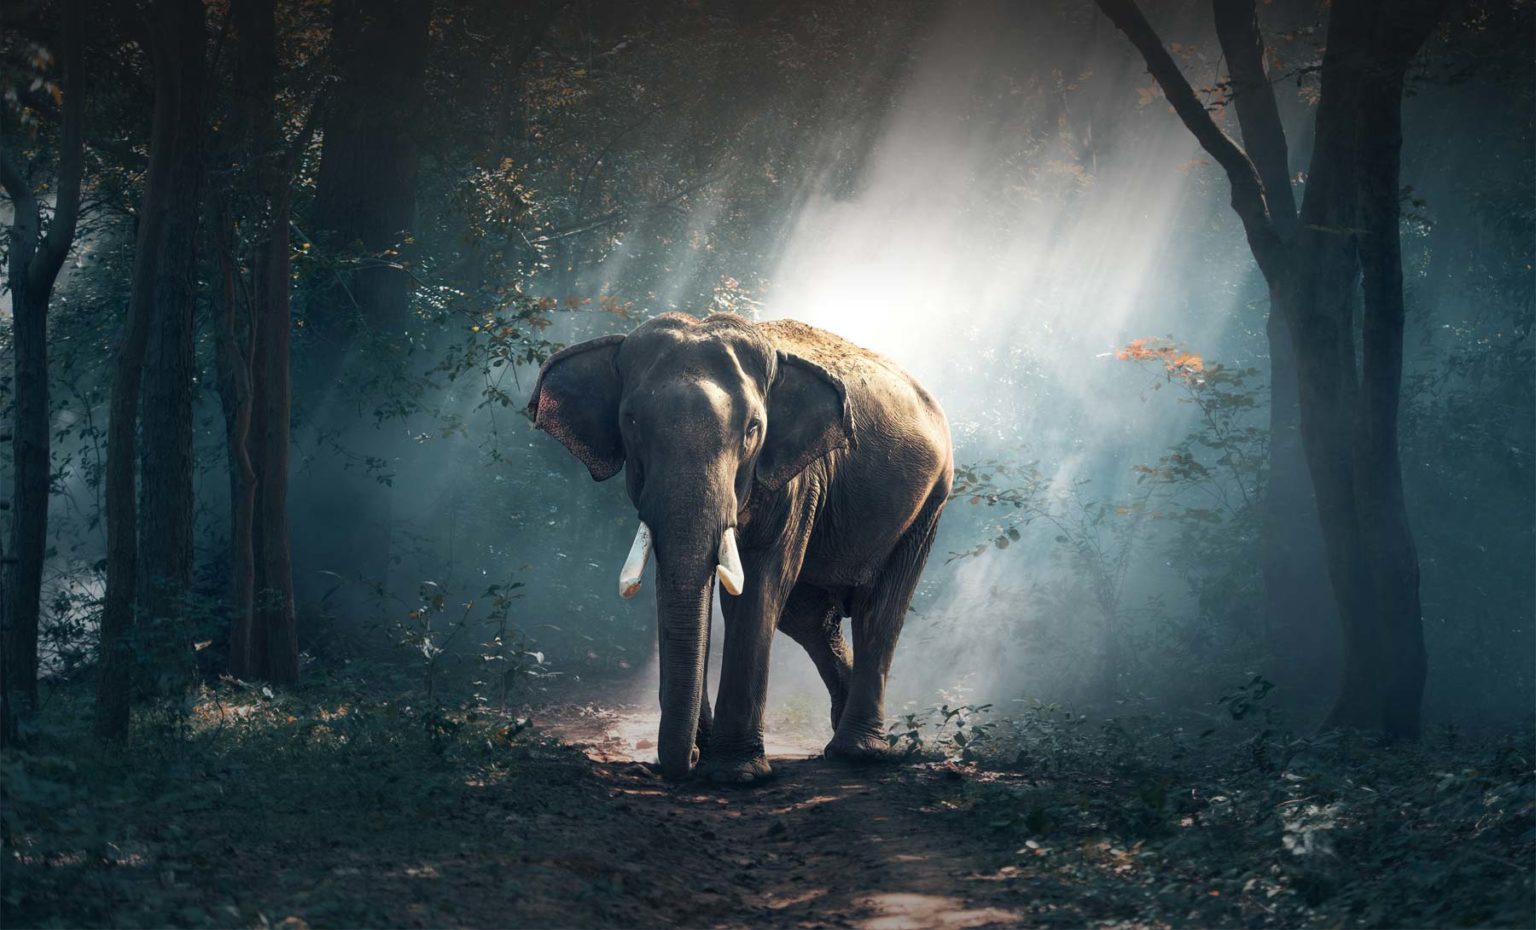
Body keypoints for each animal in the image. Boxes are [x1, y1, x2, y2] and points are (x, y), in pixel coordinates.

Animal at [528, 312, 952, 783]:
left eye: (752, 429)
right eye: (631, 422)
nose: (689, 759)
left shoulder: (797, 479)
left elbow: (758, 587)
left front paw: (735, 774)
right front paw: (708, 752)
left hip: (929, 502)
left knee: (879, 610)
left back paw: (857, 752)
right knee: (809, 617)